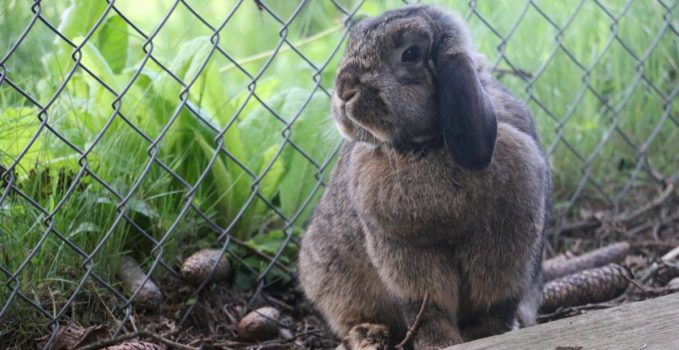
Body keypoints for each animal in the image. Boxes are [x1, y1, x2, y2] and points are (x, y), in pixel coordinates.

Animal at [298, 4, 552, 348]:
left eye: (410, 54)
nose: (344, 93)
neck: (428, 145)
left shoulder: (505, 250)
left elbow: (492, 306)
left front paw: (487, 336)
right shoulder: (406, 255)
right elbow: (427, 307)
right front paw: (441, 343)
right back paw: (368, 336)